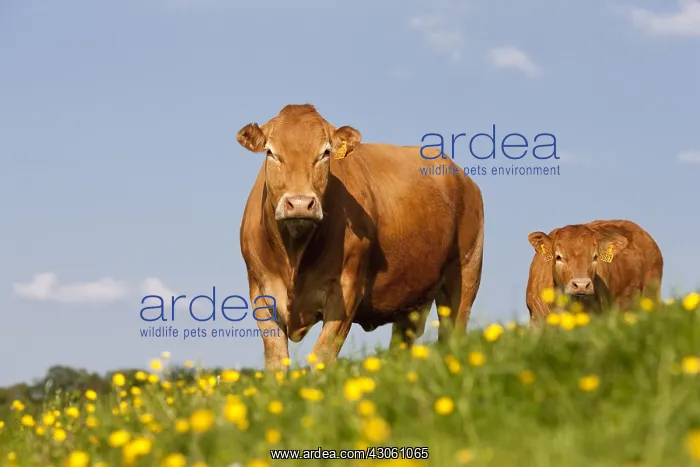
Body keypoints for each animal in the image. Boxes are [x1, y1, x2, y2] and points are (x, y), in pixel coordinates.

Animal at [236, 104, 485, 370]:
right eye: (270, 152)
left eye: (325, 152)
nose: (301, 203)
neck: (295, 254)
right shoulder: (260, 292)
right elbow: (276, 361)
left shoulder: (346, 291)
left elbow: (322, 356)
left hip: (466, 273)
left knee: (454, 336)